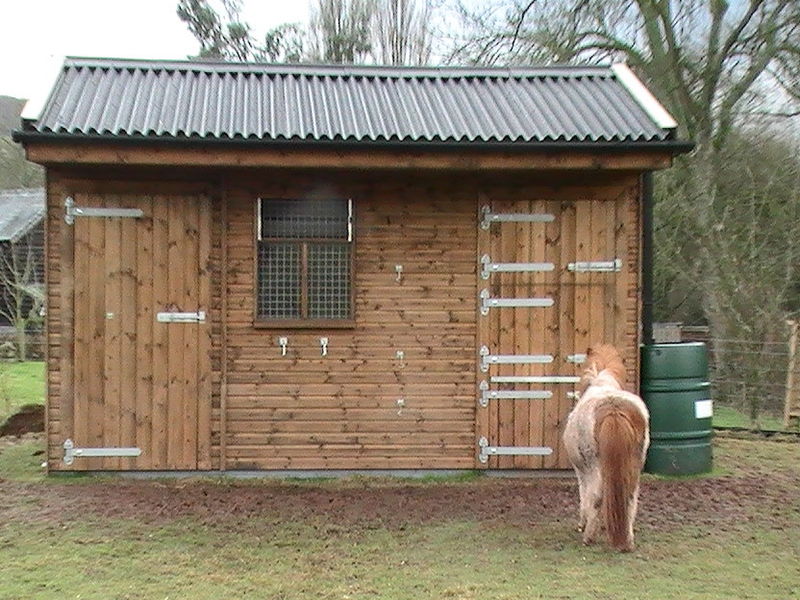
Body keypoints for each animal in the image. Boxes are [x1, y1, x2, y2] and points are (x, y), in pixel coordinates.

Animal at [564, 344, 648, 552]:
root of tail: (613, 408)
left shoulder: (581, 471)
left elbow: (584, 496)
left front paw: (584, 523)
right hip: (634, 467)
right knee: (629, 498)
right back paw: (627, 538)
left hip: (594, 468)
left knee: (595, 497)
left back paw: (588, 537)